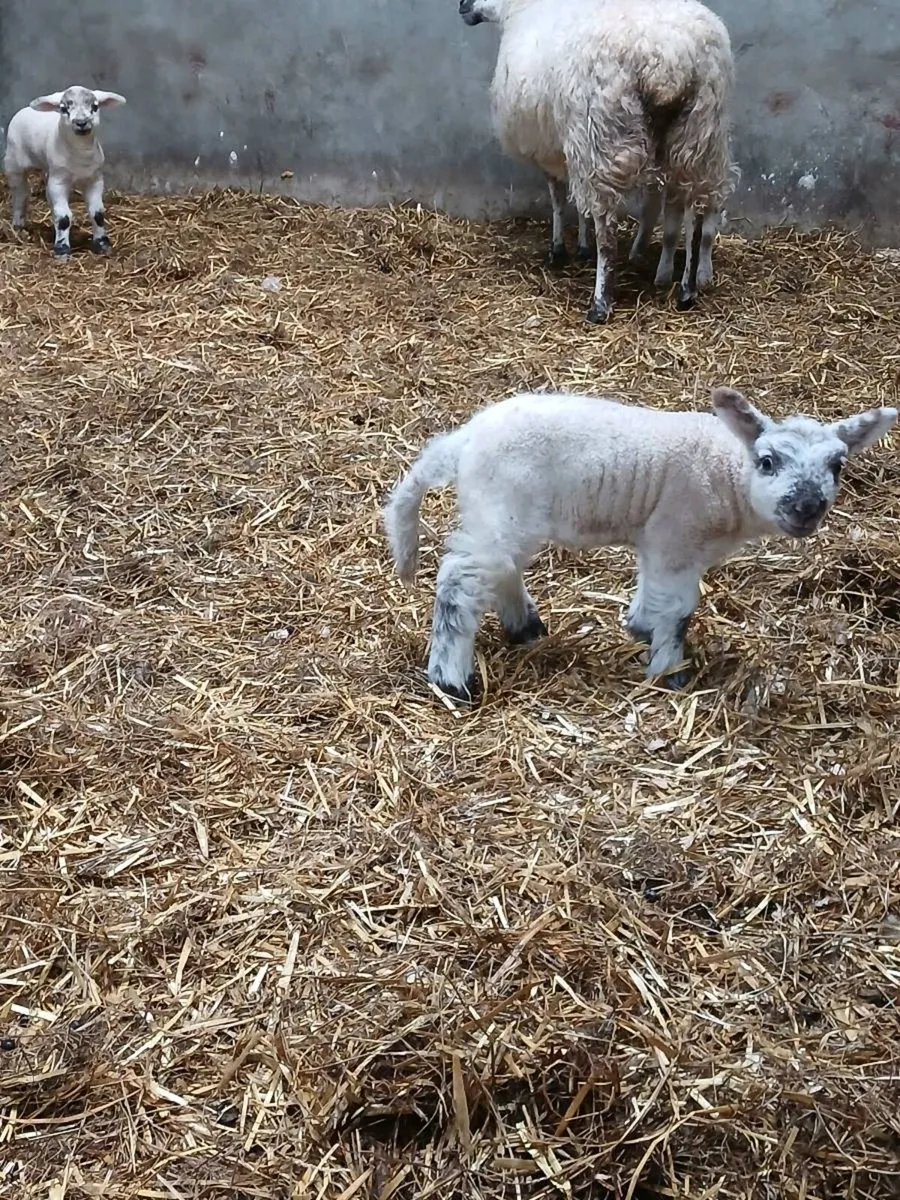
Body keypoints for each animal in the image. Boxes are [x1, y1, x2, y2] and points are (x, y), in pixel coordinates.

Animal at [4, 85, 127, 257]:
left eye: (95, 106)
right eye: (63, 109)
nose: (81, 123)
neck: (80, 156)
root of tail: (26, 109)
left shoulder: (94, 179)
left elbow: (97, 213)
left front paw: (102, 244)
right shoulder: (59, 182)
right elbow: (64, 218)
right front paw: (62, 250)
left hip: (50, 172)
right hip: (14, 164)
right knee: (20, 194)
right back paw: (18, 225)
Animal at [383, 387, 897, 701]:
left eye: (837, 466)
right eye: (767, 461)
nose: (808, 506)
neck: (728, 472)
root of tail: (464, 439)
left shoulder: (661, 540)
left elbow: (654, 595)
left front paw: (641, 627)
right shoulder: (678, 536)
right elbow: (680, 609)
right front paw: (669, 670)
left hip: (505, 516)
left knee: (501, 569)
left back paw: (525, 627)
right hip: (501, 506)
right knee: (459, 581)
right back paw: (451, 679)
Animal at [458, 0, 736, 321]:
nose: (462, 6)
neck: (517, 11)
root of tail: (666, 57)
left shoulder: (554, 148)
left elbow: (558, 200)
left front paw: (560, 250)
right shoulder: (570, 148)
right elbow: (578, 205)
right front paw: (581, 246)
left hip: (601, 137)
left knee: (608, 234)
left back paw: (600, 303)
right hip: (698, 133)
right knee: (695, 214)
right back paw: (687, 289)